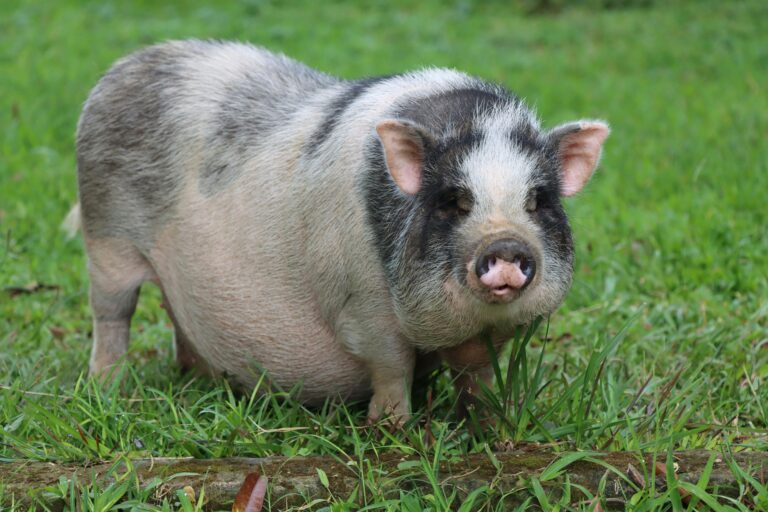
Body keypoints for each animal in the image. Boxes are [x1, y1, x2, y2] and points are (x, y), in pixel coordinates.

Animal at [76, 40, 608, 423]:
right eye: (453, 202)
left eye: (538, 200)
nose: (505, 244)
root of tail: (127, 64)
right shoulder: (362, 300)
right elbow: (393, 366)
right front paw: (393, 431)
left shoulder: (487, 335)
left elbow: (478, 375)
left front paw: (487, 428)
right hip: (106, 236)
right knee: (112, 313)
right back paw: (107, 388)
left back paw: (196, 379)